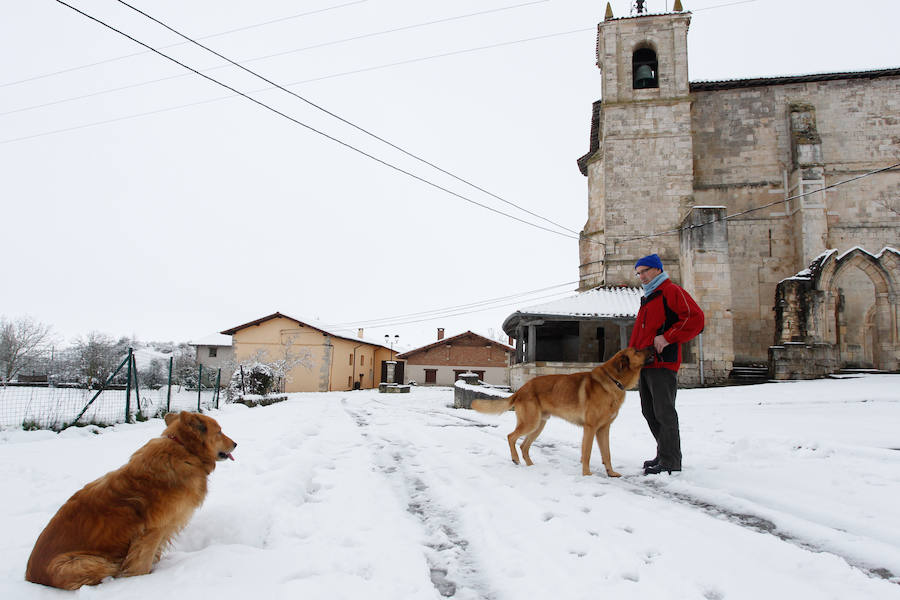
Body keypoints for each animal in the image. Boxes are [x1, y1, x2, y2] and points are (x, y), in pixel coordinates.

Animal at [27, 410, 237, 588]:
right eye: (219, 431)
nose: (236, 444)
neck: (185, 450)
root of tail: (30, 577)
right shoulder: (151, 532)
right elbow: (141, 564)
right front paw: (140, 581)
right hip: (82, 562)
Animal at [472, 346, 652, 478]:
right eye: (637, 351)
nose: (652, 348)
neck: (613, 380)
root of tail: (522, 389)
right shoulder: (590, 428)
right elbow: (587, 453)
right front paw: (587, 474)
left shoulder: (603, 429)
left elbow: (607, 454)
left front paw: (611, 472)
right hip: (531, 423)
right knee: (511, 437)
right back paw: (515, 459)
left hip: (538, 425)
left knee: (524, 446)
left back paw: (530, 466)